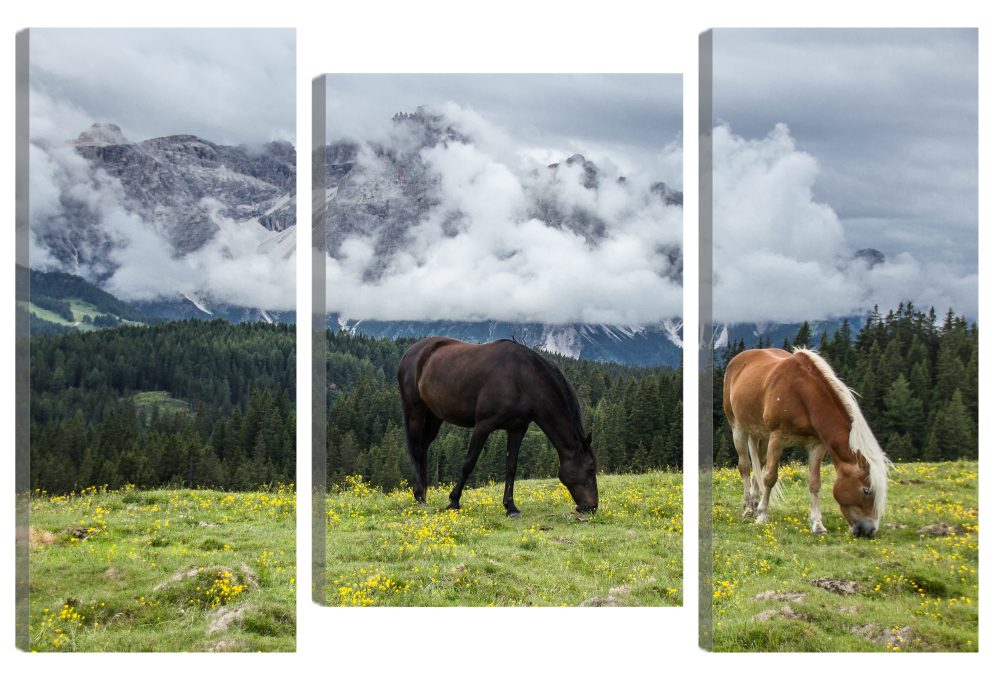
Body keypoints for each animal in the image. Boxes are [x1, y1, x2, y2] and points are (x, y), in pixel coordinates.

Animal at [396, 338, 600, 516]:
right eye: (590, 468)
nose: (592, 506)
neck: (522, 379)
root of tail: (411, 353)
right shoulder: (483, 425)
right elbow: (468, 463)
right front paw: (454, 501)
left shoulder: (518, 428)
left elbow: (511, 467)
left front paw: (510, 507)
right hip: (415, 411)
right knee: (416, 451)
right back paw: (419, 496)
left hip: (434, 416)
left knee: (423, 448)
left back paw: (424, 494)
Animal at [720, 350, 892, 536]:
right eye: (866, 490)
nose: (870, 530)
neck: (802, 395)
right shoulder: (777, 438)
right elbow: (770, 477)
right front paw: (762, 516)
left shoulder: (817, 445)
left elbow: (814, 483)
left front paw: (817, 524)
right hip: (738, 427)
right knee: (745, 466)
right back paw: (748, 509)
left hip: (761, 435)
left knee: (759, 464)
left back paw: (753, 502)